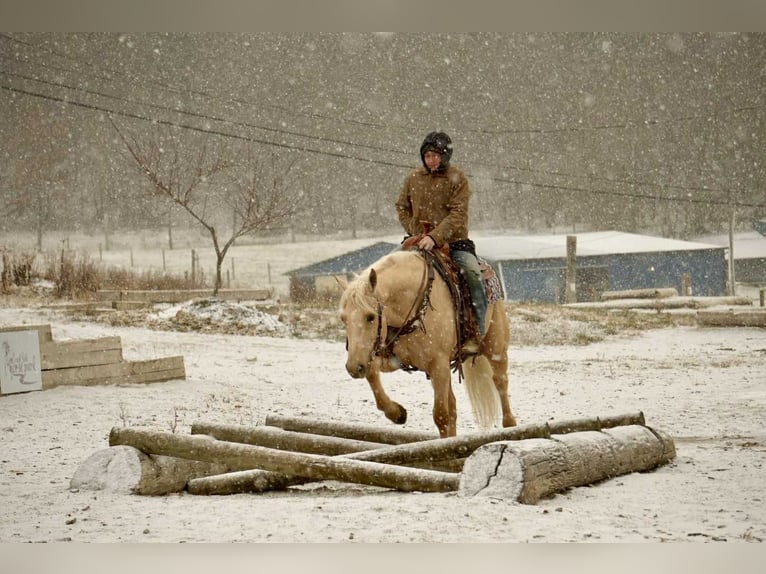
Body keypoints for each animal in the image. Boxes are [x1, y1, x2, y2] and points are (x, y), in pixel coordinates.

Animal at [337, 248, 517, 438]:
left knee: (500, 382)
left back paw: (510, 426)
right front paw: (398, 413)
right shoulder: (391, 359)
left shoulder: (438, 365)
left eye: (370, 317)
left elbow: (441, 415)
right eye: (343, 318)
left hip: (496, 348)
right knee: (453, 405)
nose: (353, 367)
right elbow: (372, 375)